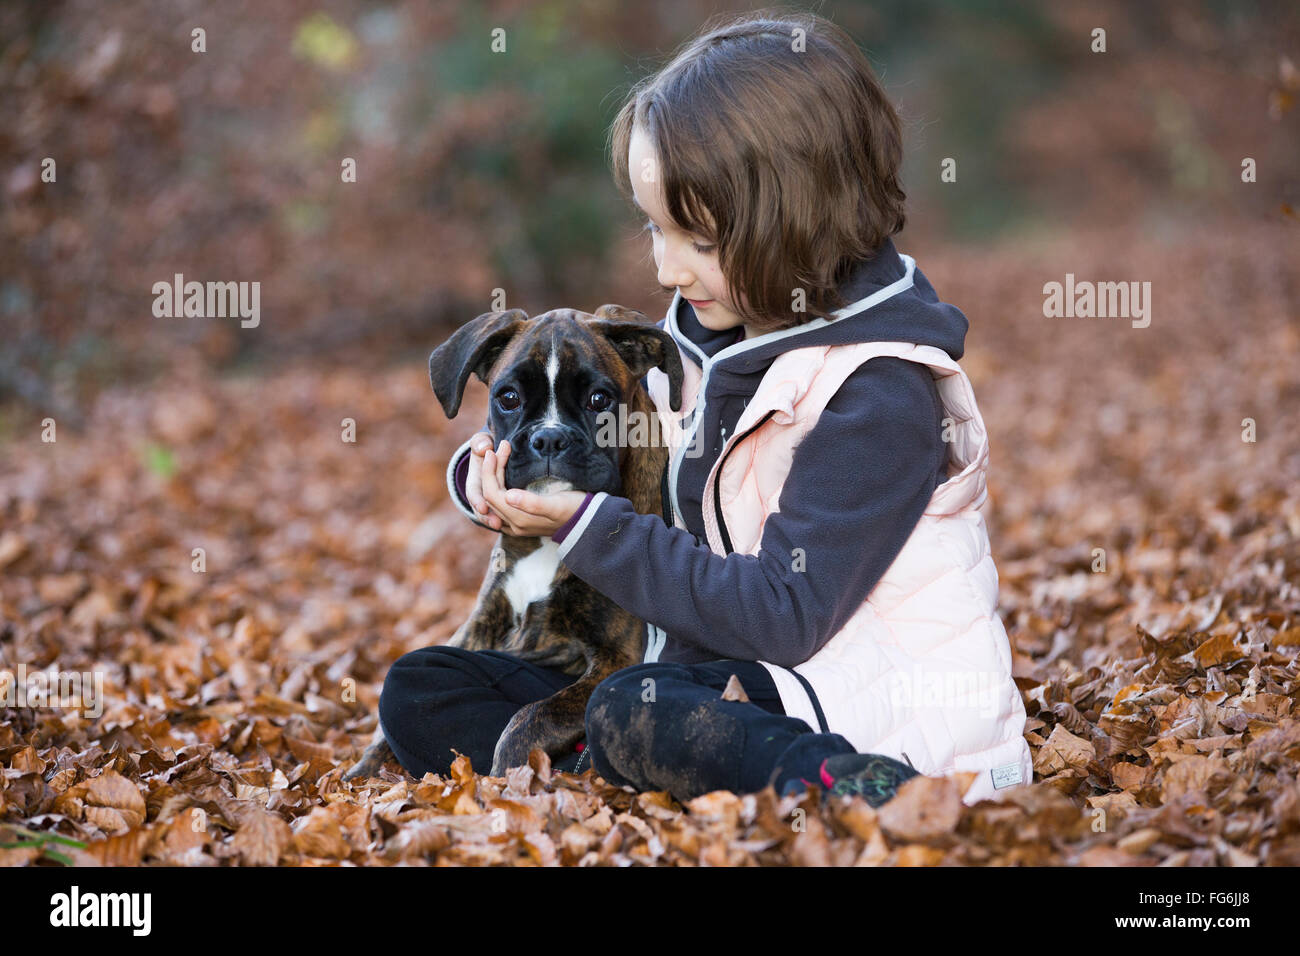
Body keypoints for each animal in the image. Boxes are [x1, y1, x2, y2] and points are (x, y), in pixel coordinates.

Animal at [345, 303, 691, 780]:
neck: (546, 542)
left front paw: (506, 777)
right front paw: (358, 775)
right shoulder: (477, 629)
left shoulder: (618, 656)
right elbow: (387, 721)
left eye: (599, 400)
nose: (549, 438)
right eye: (507, 398)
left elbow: (534, 715)